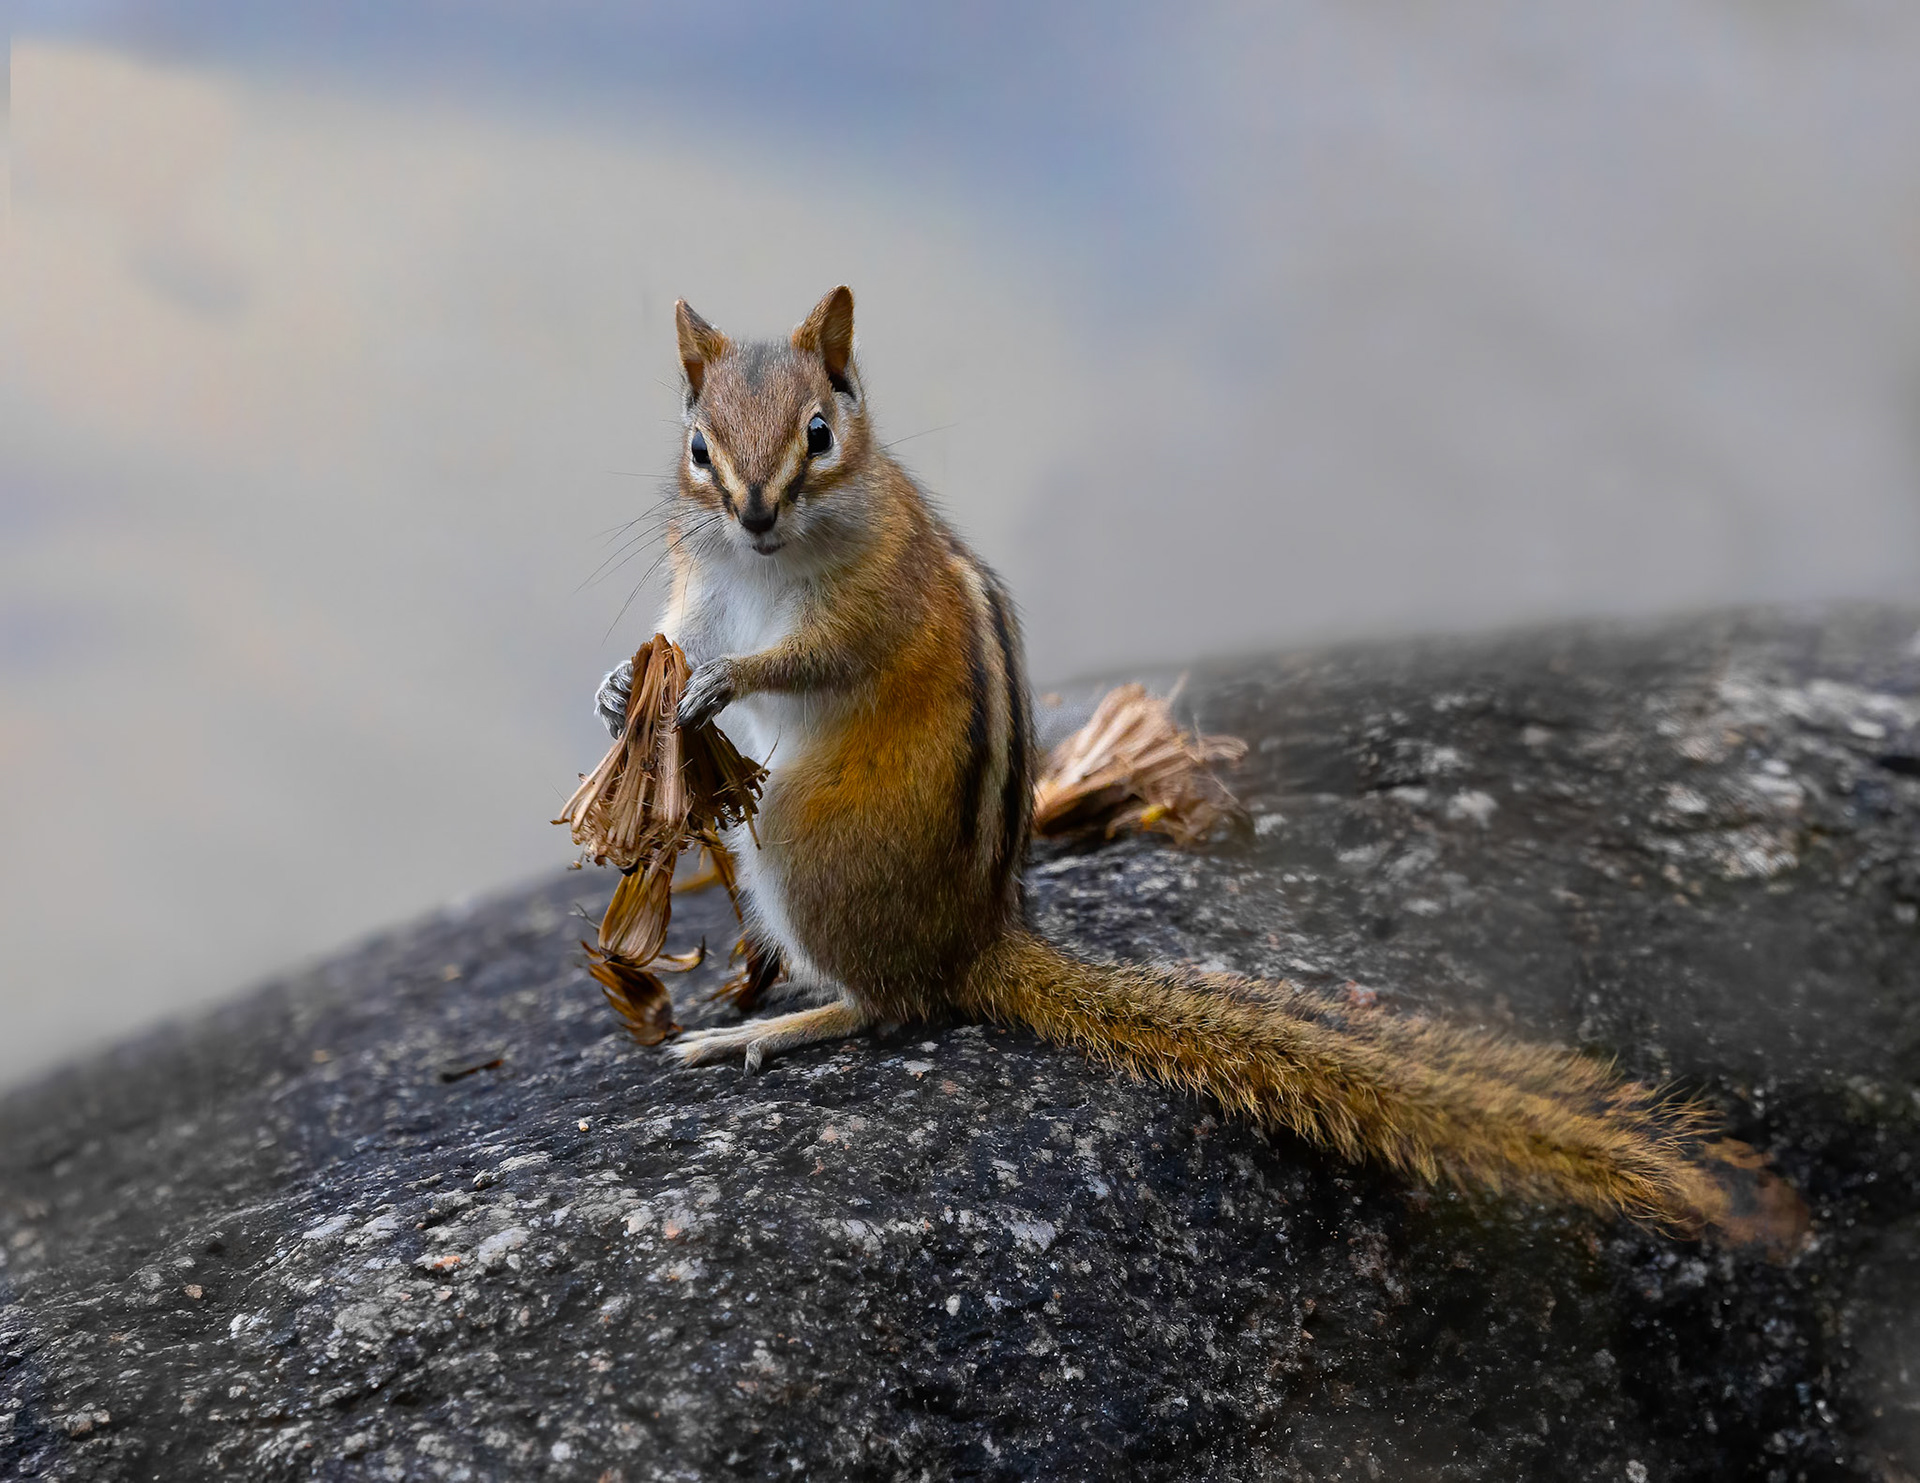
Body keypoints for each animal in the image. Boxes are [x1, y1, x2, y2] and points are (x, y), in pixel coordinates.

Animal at [590, 285, 1789, 1242]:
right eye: (699, 446)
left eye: (820, 432)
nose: (754, 508)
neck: (765, 559)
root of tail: (978, 940)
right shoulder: (701, 585)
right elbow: (677, 630)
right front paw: (620, 690)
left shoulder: (872, 597)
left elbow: (812, 656)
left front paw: (723, 685)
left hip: (795, 836)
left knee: (894, 1005)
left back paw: (771, 1026)